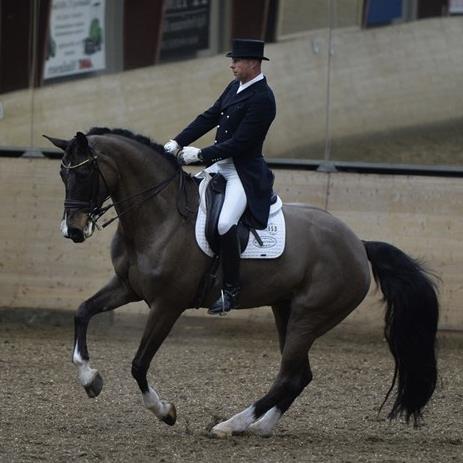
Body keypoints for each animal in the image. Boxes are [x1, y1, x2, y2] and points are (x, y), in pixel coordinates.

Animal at [45, 129, 440, 436]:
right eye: (62, 175)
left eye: (85, 174)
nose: (73, 231)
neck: (159, 216)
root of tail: (358, 243)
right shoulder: (127, 287)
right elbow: (82, 312)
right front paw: (90, 379)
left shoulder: (167, 305)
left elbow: (139, 364)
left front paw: (165, 411)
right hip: (286, 310)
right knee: (300, 375)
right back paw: (260, 427)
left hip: (310, 316)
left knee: (288, 376)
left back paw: (231, 425)